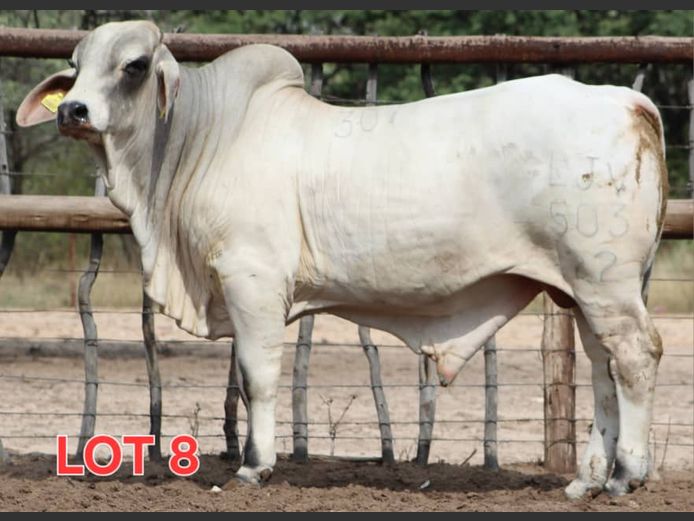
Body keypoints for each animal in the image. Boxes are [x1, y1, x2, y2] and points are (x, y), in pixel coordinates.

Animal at [17, 21, 668, 498]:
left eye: (132, 65)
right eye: (75, 66)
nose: (72, 111)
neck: (198, 141)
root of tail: (627, 100)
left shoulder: (252, 279)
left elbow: (257, 375)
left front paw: (254, 466)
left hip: (604, 282)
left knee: (637, 358)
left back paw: (626, 475)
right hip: (579, 291)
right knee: (603, 369)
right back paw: (587, 480)